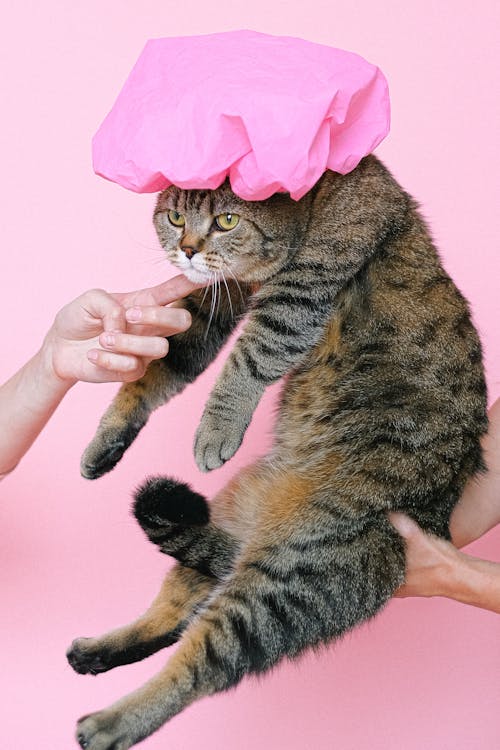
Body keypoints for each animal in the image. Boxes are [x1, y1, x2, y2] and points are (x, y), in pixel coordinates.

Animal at [68, 156, 486, 748]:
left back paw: (110, 722)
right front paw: (105, 441)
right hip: (225, 519)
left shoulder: (299, 293)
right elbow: (158, 368)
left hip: (287, 579)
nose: (188, 250)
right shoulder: (217, 297)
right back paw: (98, 652)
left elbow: (248, 357)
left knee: (199, 662)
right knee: (179, 607)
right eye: (175, 217)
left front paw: (214, 431)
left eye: (226, 220)